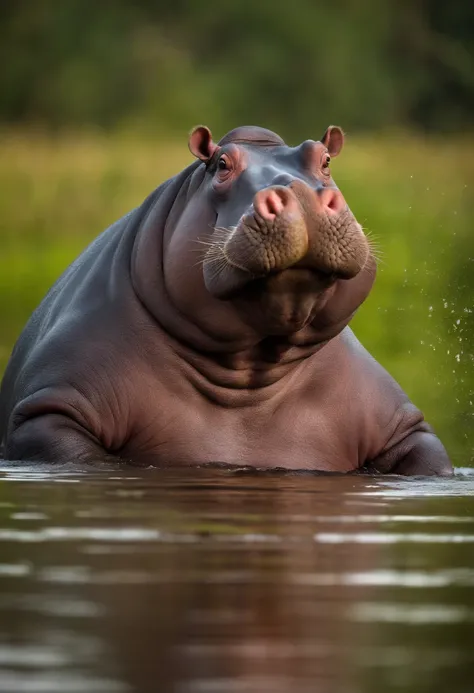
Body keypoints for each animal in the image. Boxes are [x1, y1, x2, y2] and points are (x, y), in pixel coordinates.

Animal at [0, 123, 452, 476]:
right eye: (221, 164)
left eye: (324, 159)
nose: (301, 191)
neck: (249, 377)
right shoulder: (47, 413)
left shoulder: (405, 429)